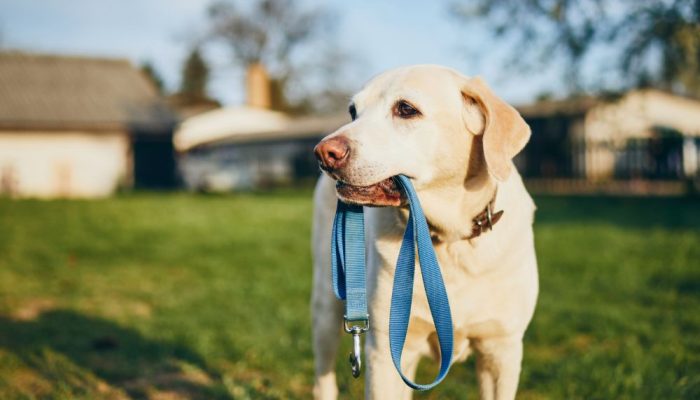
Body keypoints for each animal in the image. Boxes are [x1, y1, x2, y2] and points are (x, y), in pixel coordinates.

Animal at [310, 65, 536, 400]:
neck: (447, 241)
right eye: (353, 111)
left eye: (406, 109)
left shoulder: (501, 349)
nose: (324, 153)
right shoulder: (386, 351)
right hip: (327, 303)